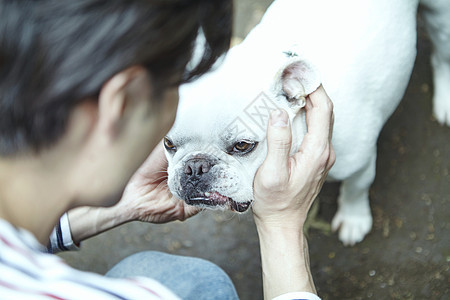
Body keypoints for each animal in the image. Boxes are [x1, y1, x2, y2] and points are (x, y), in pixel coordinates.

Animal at [165, 0, 450, 245]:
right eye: (168, 143)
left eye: (243, 146)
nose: (195, 167)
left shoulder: (360, 162)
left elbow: (357, 187)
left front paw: (353, 219)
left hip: (440, 17)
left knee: (442, 54)